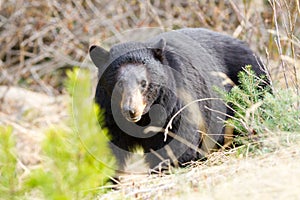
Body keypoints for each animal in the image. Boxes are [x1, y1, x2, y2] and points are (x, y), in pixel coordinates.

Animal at [89, 28, 268, 171]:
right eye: (119, 84)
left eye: (143, 83)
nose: (131, 111)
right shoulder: (108, 112)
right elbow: (108, 147)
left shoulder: (175, 106)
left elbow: (177, 141)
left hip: (251, 78)